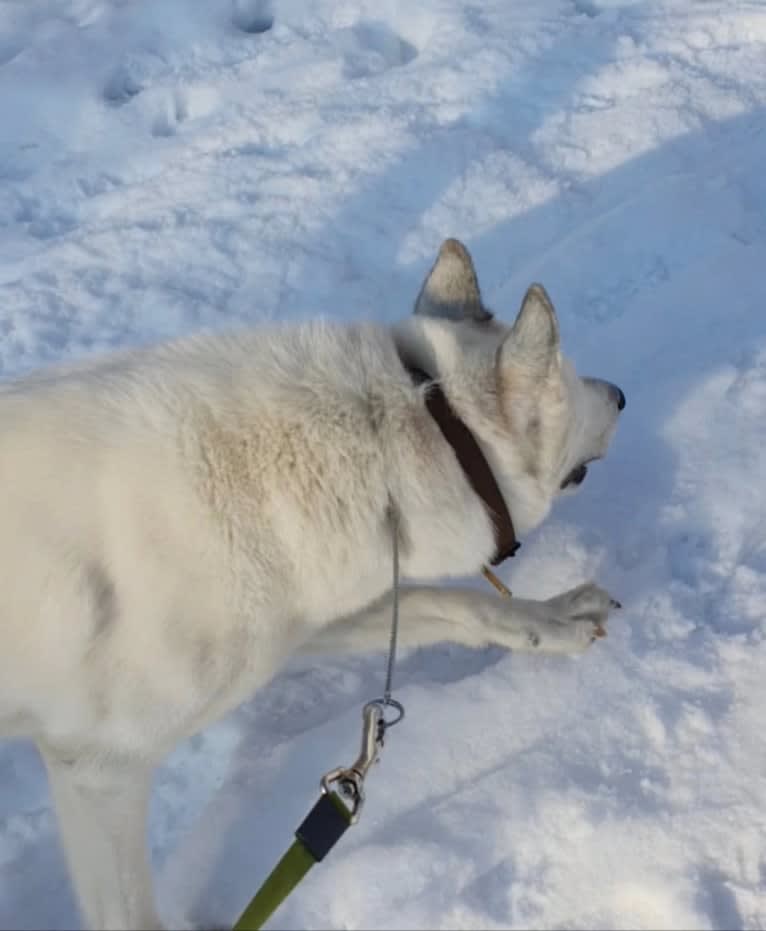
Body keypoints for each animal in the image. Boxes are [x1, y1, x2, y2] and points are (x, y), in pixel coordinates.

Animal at [0, 238, 624, 924]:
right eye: (574, 383)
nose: (621, 394)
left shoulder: (298, 622)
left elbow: (455, 606)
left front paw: (553, 620)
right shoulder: (98, 771)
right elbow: (131, 916)